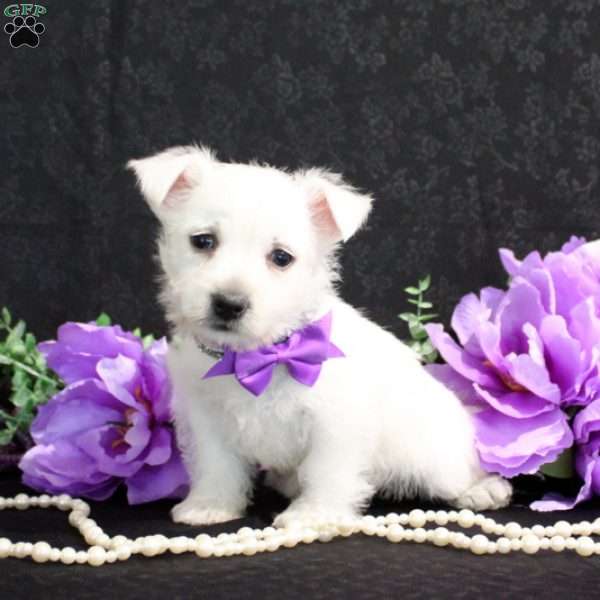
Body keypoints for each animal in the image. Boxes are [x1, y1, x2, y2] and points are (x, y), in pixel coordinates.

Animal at [127, 145, 510, 524]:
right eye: (203, 241)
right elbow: (217, 465)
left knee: (460, 470)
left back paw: (483, 488)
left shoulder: (335, 423)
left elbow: (326, 472)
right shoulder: (206, 419)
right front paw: (211, 504)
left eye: (281, 257)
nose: (229, 304)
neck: (257, 357)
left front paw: (313, 515)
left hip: (434, 455)